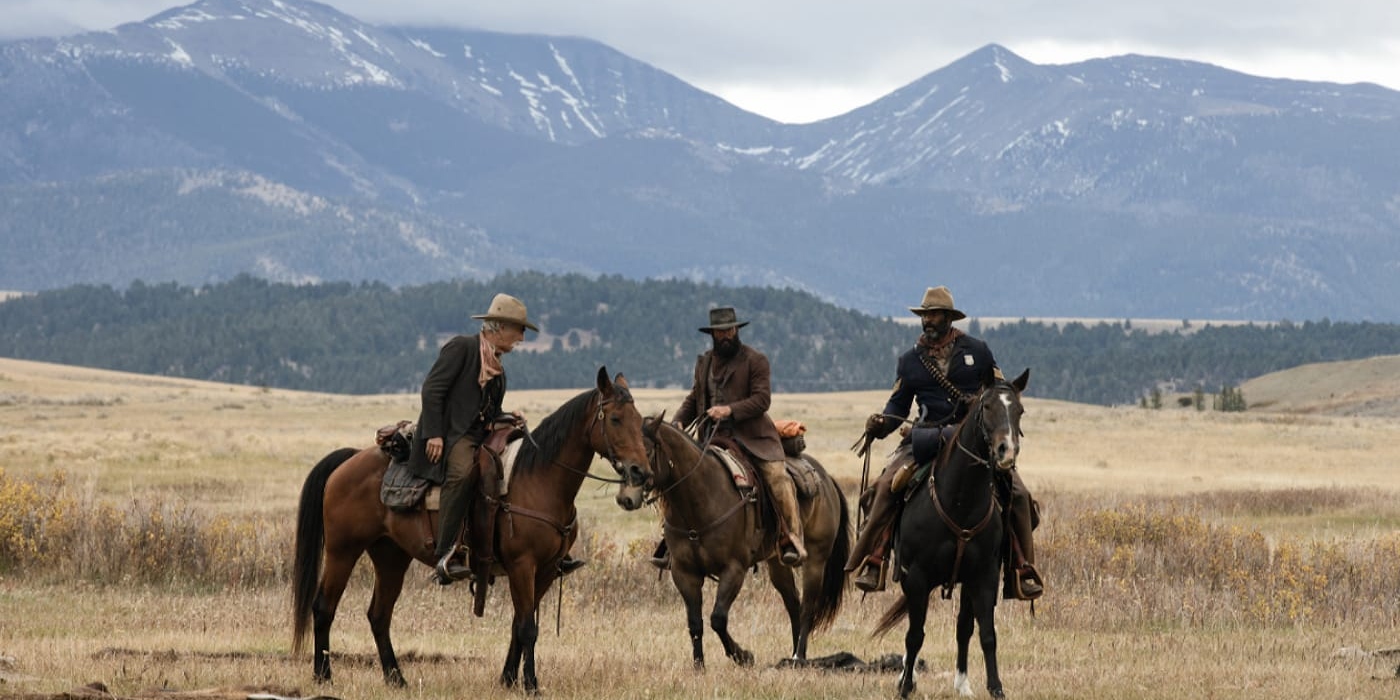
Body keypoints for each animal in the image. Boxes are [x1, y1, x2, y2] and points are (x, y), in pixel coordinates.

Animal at [294, 369, 649, 691]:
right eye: (615, 419)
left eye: (639, 419)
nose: (640, 471)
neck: (539, 480)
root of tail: (350, 460)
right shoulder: (523, 565)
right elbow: (527, 627)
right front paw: (531, 685)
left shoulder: (546, 570)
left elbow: (520, 624)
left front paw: (508, 680)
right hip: (342, 550)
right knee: (323, 608)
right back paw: (324, 676)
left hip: (390, 556)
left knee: (379, 615)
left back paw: (397, 679)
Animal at [644, 414, 851, 666]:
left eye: (647, 450)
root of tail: (827, 479)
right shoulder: (684, 572)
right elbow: (695, 623)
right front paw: (699, 665)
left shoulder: (734, 569)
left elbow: (718, 618)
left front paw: (743, 656)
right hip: (777, 563)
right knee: (793, 603)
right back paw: (793, 656)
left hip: (816, 560)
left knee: (807, 607)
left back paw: (799, 655)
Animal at [873, 369, 1030, 697]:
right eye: (987, 407)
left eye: (1019, 410)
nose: (1006, 451)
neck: (960, 501)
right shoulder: (916, 576)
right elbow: (914, 635)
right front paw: (905, 686)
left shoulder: (983, 577)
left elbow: (985, 634)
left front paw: (995, 688)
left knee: (963, 627)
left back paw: (962, 684)